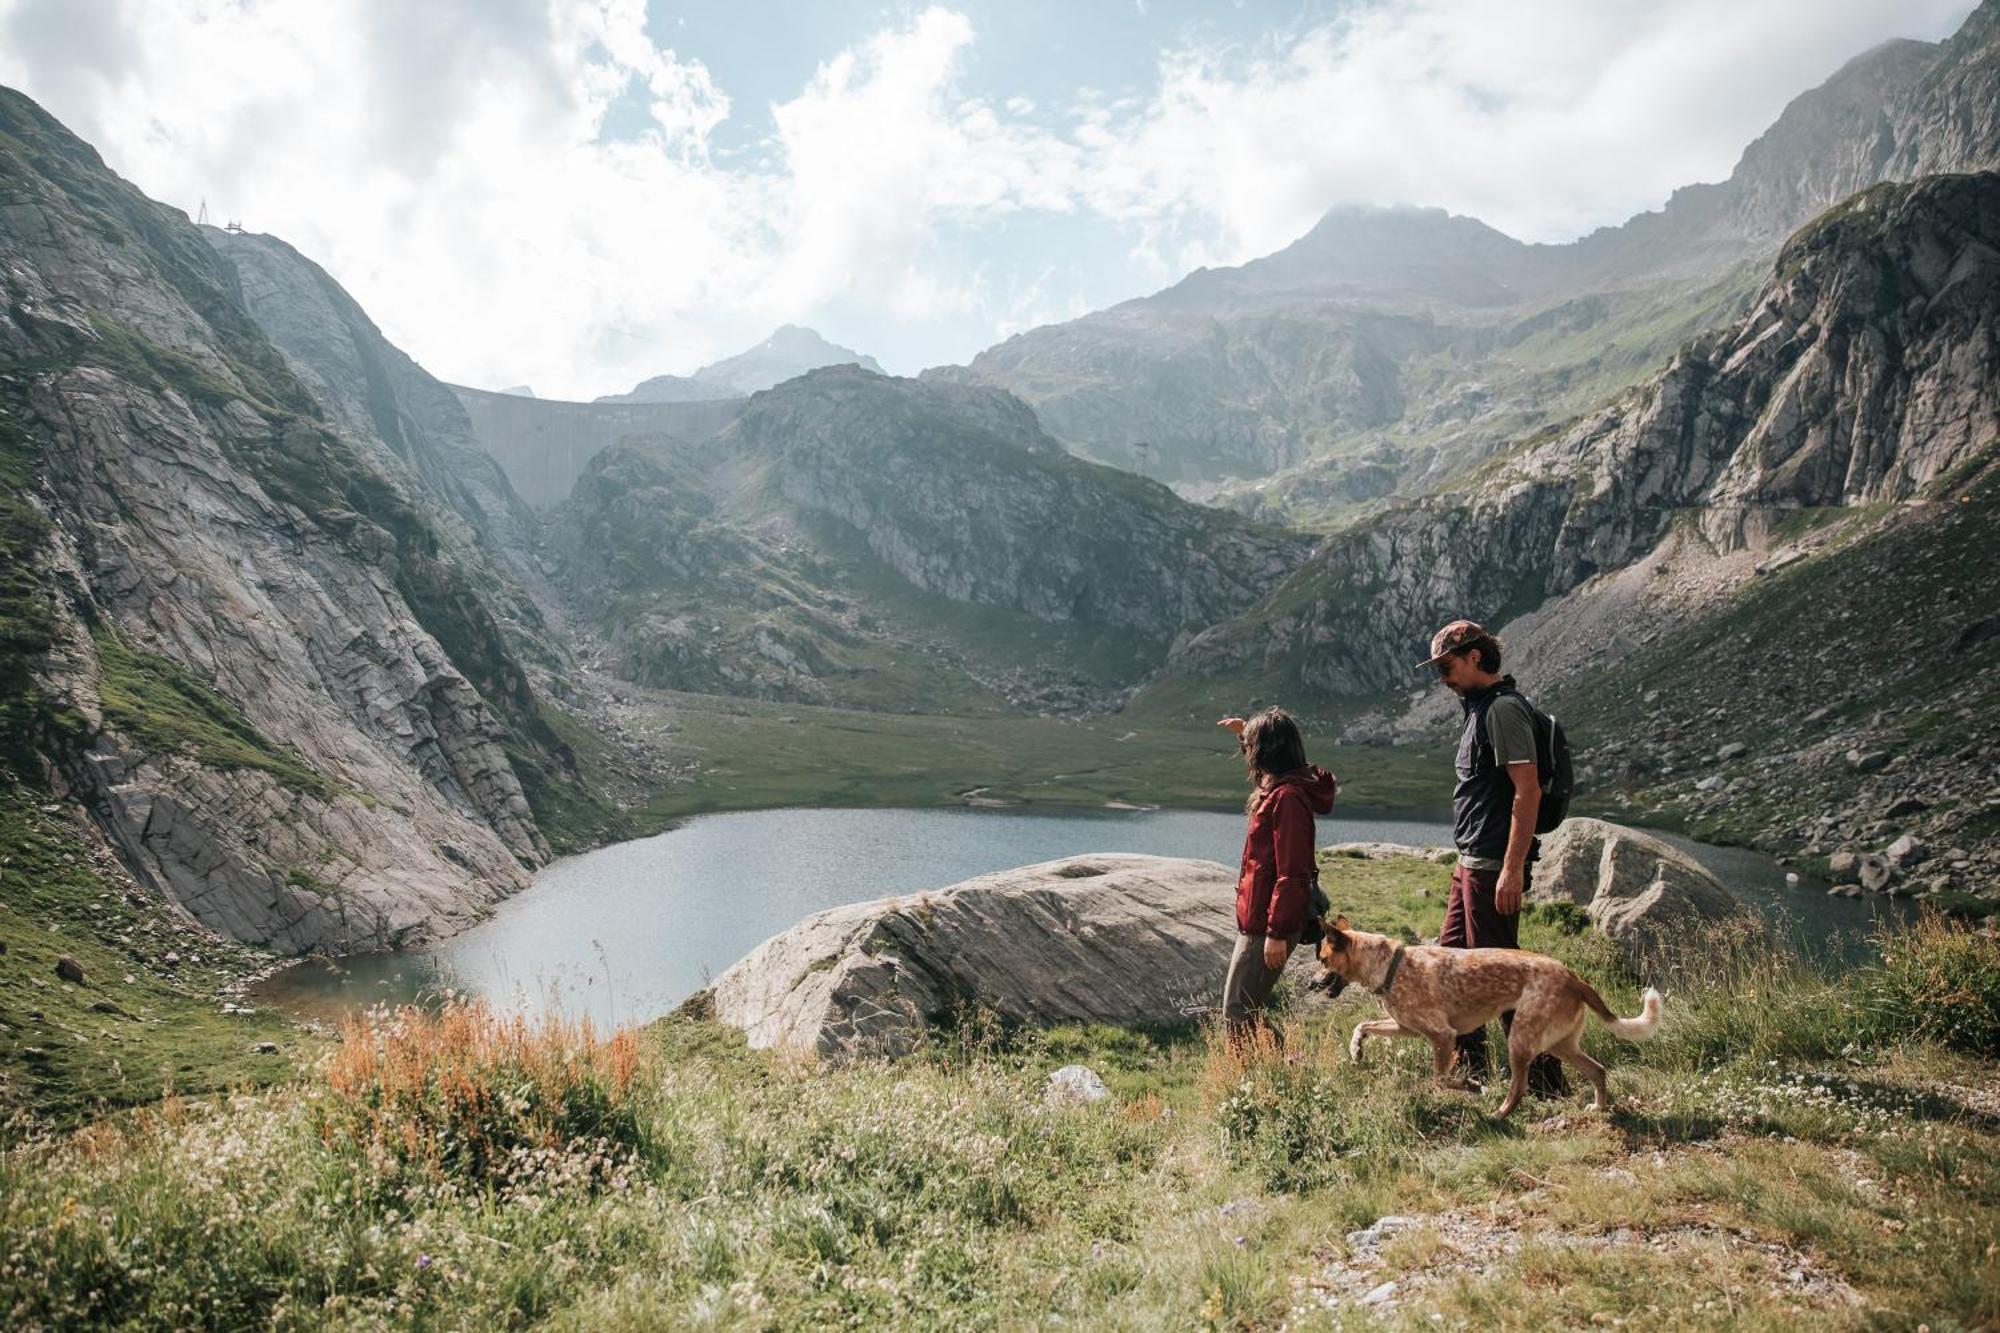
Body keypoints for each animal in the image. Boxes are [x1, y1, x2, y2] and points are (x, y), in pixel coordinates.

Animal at [1320, 908, 1664, 1112]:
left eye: (1322, 959)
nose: (1312, 983)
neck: (1390, 965)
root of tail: (1573, 977)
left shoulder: (1443, 1036)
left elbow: (1441, 1080)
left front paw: (1471, 1086)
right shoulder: (1406, 1028)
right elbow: (1363, 1025)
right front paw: (1356, 1049)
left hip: (1520, 1040)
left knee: (1520, 1087)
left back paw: (1498, 1115)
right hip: (1560, 1044)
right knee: (1598, 1070)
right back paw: (1599, 1109)